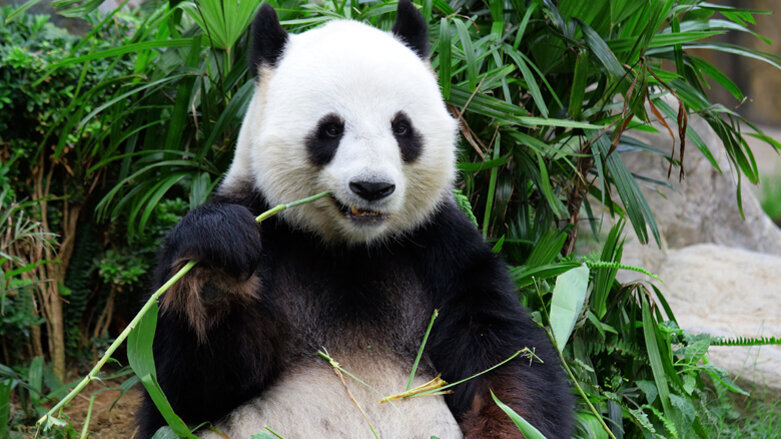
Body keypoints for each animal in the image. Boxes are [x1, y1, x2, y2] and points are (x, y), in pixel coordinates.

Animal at [137, 1, 573, 438]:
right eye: (330, 129)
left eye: (402, 127)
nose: (372, 186)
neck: (351, 249)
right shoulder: (269, 229)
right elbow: (183, 391)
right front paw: (216, 267)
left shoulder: (443, 249)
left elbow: (504, 361)